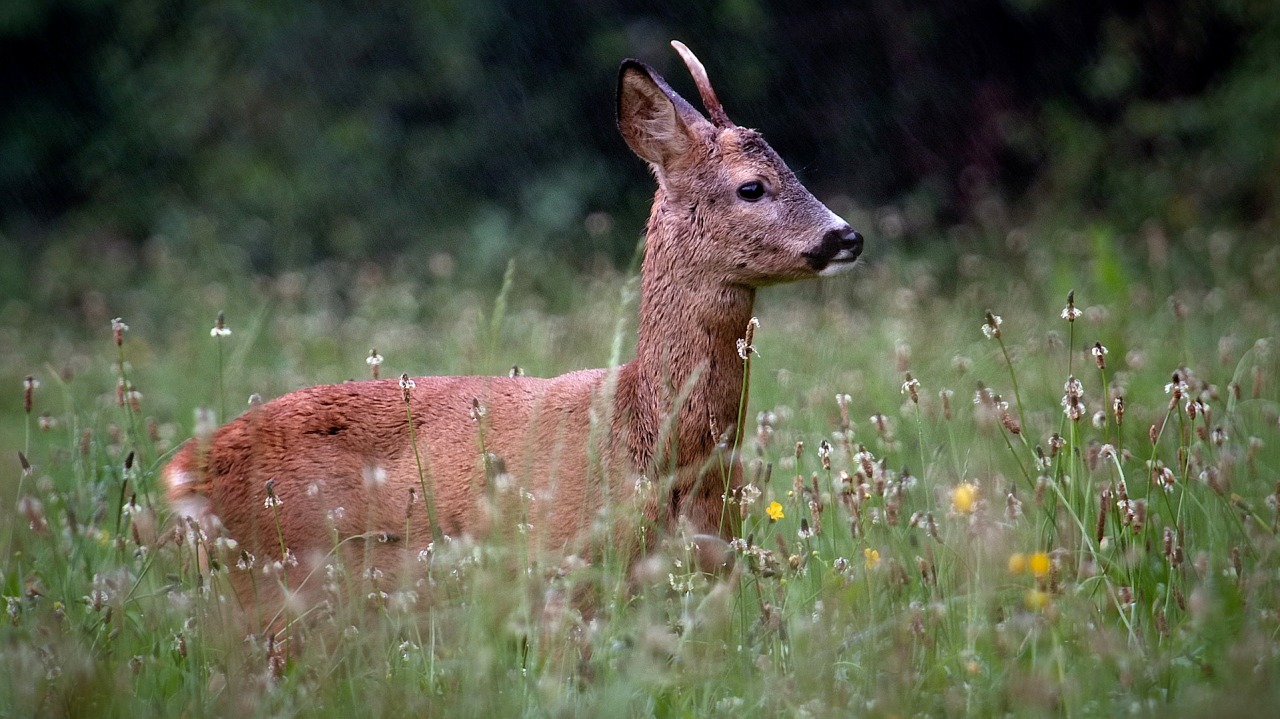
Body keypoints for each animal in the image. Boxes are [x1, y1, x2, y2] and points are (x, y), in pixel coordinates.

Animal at [160, 41, 860, 619]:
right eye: (753, 187)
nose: (846, 236)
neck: (647, 433)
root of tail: (184, 473)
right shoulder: (563, 571)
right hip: (282, 573)